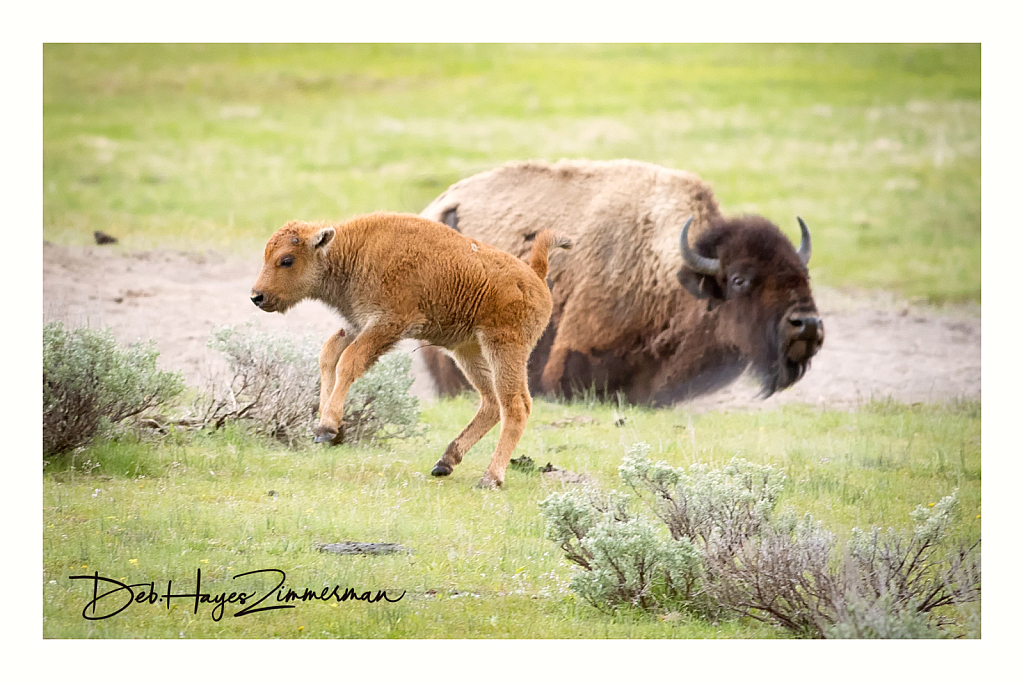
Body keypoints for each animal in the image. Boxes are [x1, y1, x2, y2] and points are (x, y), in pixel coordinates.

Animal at [247, 209, 569, 485]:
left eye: (286, 259)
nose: (257, 296)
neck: (351, 252)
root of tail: (535, 275)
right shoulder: (357, 324)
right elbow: (328, 355)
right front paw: (328, 430)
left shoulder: (386, 325)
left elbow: (348, 361)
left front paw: (327, 427)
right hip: (468, 350)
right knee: (491, 402)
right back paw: (445, 463)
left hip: (504, 348)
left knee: (516, 405)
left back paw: (490, 478)